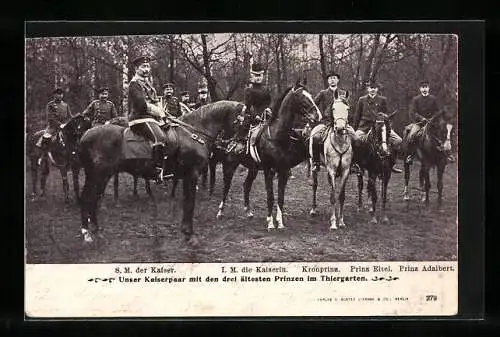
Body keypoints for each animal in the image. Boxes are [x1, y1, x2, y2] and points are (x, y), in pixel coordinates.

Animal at [76, 100, 246, 244]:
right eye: (243, 121)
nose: (240, 148)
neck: (193, 133)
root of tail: (84, 136)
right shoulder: (192, 175)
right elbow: (190, 203)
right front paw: (190, 235)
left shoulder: (187, 177)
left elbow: (187, 202)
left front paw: (186, 232)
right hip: (98, 176)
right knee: (88, 198)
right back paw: (87, 233)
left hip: (100, 176)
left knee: (91, 199)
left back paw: (95, 231)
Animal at [214, 79, 320, 227]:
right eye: (301, 97)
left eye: (310, 95)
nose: (317, 115)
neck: (276, 137)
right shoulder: (268, 170)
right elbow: (270, 196)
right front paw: (270, 222)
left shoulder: (283, 170)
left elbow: (280, 197)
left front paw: (280, 222)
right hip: (230, 165)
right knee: (226, 186)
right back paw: (220, 211)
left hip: (252, 169)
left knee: (246, 185)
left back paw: (248, 212)